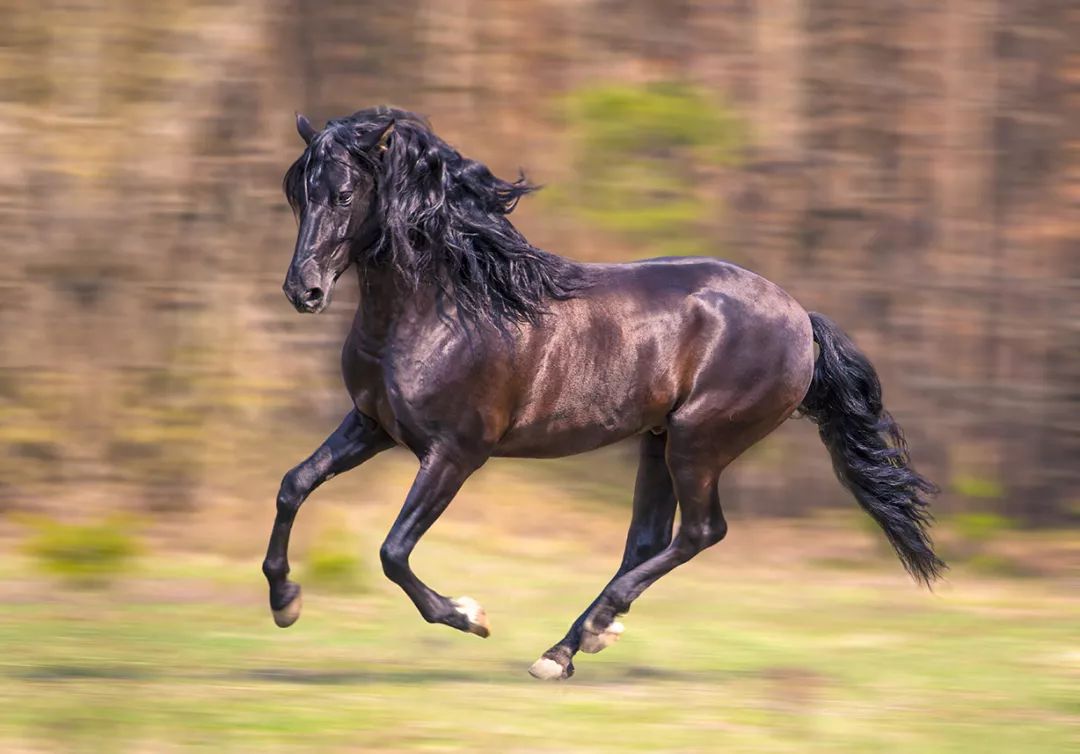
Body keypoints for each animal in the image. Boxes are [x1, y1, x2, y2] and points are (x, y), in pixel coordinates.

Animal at [257, 106, 941, 682]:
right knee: (649, 538)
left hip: (700, 441)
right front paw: (285, 602)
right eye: (297, 194)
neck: (440, 310)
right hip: (659, 440)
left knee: (700, 532)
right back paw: (570, 645)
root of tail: (801, 318)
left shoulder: (454, 453)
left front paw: (470, 615)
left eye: (344, 194)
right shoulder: (372, 425)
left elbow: (393, 551)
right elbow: (294, 483)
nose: (303, 290)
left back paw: (577, 640)